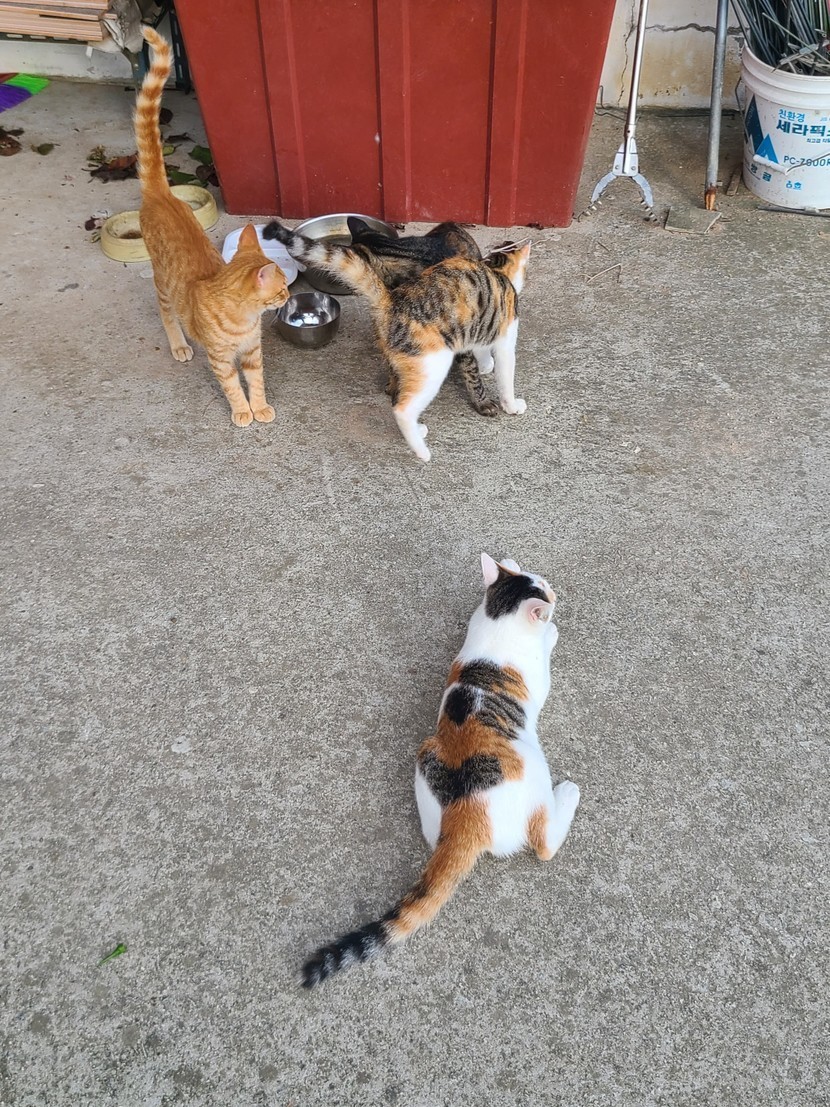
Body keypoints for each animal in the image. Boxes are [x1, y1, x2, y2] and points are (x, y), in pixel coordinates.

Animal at [136, 28, 289, 427]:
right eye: (282, 288)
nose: (288, 298)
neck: (245, 321)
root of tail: (161, 193)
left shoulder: (252, 352)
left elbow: (256, 381)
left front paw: (260, 406)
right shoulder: (221, 360)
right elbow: (234, 387)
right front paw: (243, 412)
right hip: (162, 282)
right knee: (165, 312)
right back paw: (178, 344)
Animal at [301, 553, 580, 987]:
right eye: (545, 588)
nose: (552, 588)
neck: (499, 616)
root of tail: (468, 812)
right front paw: (550, 629)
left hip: (425, 759)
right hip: (533, 765)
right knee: (545, 843)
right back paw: (567, 793)